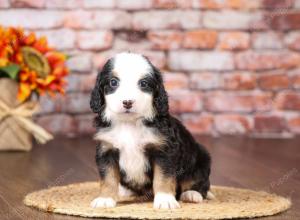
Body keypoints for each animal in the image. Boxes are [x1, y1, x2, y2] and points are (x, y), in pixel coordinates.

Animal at [90, 52, 212, 210]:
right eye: (113, 82)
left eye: (143, 83)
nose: (127, 102)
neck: (129, 123)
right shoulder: (107, 149)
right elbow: (108, 177)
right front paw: (105, 199)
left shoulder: (163, 150)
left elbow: (163, 177)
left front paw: (165, 200)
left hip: (201, 158)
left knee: (200, 182)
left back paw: (192, 194)